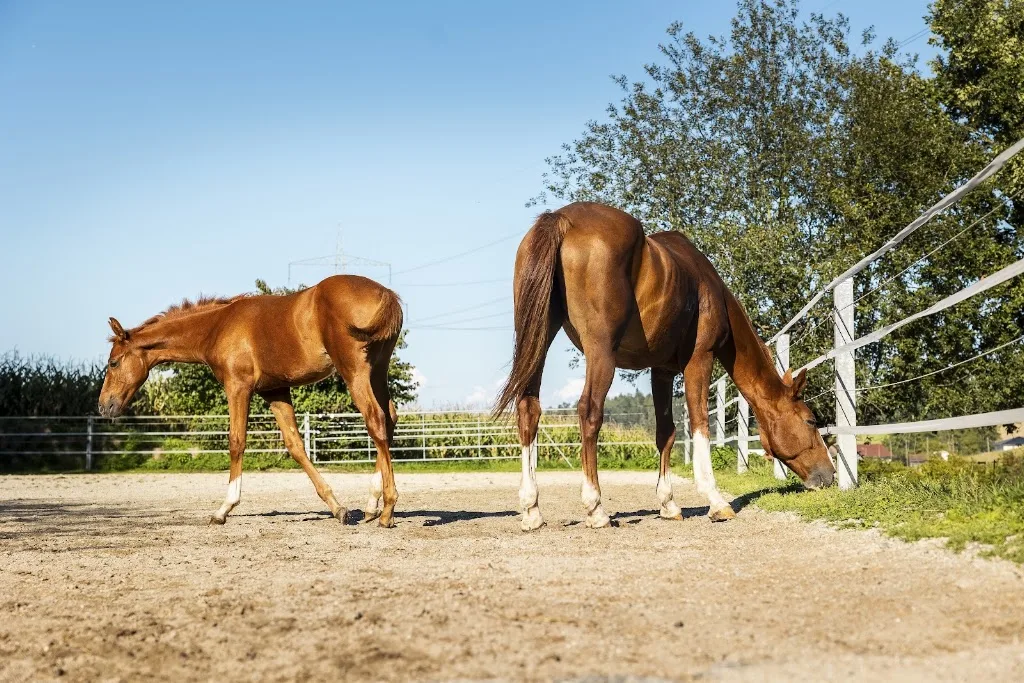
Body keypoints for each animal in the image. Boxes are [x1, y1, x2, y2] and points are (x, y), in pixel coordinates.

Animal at [98, 275, 404, 527]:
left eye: (113, 363)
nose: (104, 406)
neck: (218, 326)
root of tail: (386, 293)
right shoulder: (275, 391)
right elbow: (295, 446)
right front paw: (337, 507)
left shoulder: (238, 387)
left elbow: (236, 442)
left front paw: (223, 509)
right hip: (378, 371)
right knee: (389, 419)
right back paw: (371, 506)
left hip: (355, 372)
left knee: (375, 420)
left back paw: (387, 510)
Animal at [494, 202, 835, 531]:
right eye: (811, 421)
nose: (829, 475)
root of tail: (562, 219)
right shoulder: (700, 358)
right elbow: (700, 424)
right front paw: (715, 501)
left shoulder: (662, 371)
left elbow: (666, 433)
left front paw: (669, 505)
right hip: (600, 351)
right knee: (589, 411)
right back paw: (596, 509)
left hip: (539, 339)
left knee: (529, 411)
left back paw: (532, 510)